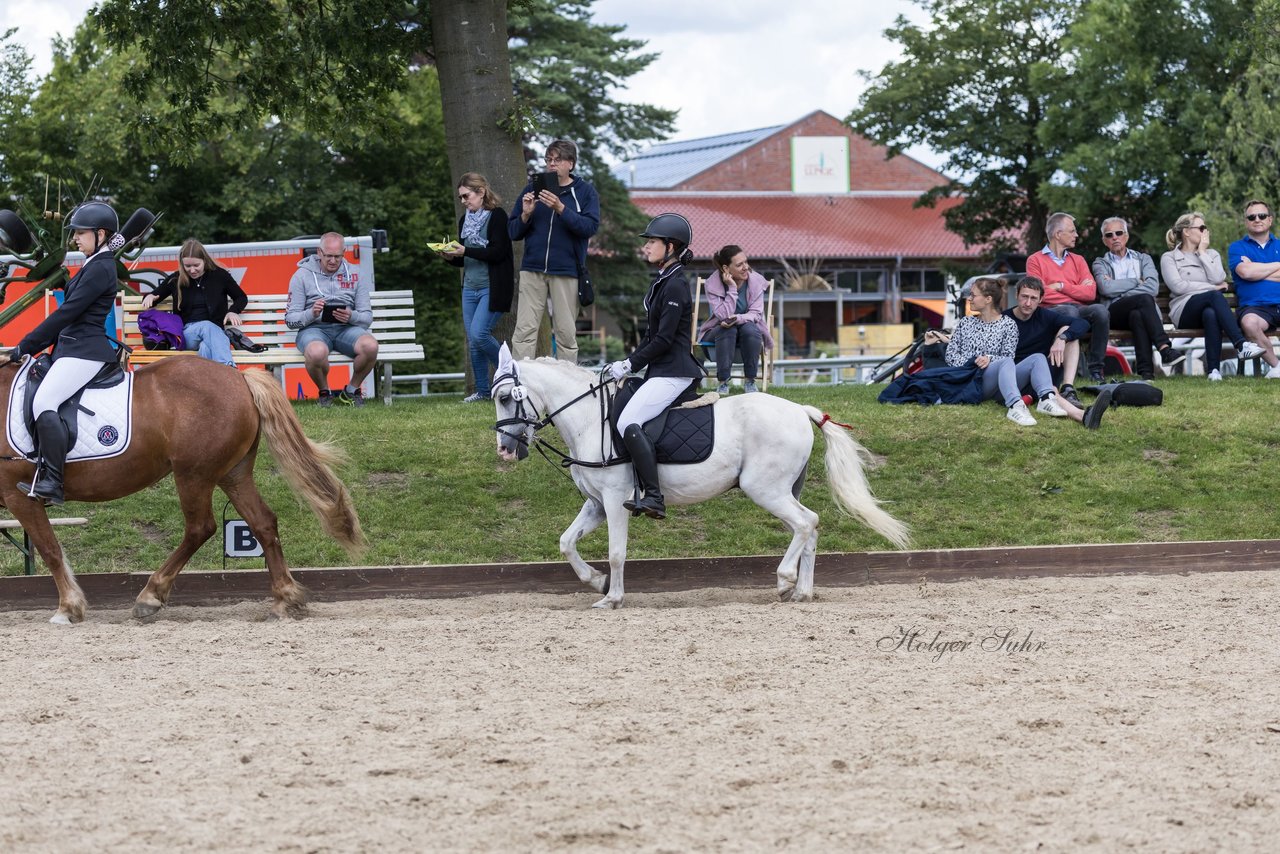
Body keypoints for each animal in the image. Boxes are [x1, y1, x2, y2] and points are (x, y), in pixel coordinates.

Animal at [1, 358, 360, 624]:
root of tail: (239, 377)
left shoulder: (18, 495)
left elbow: (49, 549)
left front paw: (69, 608)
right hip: (232, 474)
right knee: (263, 522)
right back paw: (286, 599)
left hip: (193, 474)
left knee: (200, 528)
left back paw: (150, 596)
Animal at [491, 343, 911, 612]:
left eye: (505, 398)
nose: (505, 449)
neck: (592, 418)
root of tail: (798, 409)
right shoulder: (596, 504)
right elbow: (566, 543)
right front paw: (597, 581)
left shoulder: (614, 500)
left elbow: (616, 552)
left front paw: (612, 598)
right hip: (783, 490)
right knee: (809, 527)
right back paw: (802, 593)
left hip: (766, 490)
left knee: (806, 523)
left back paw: (784, 580)